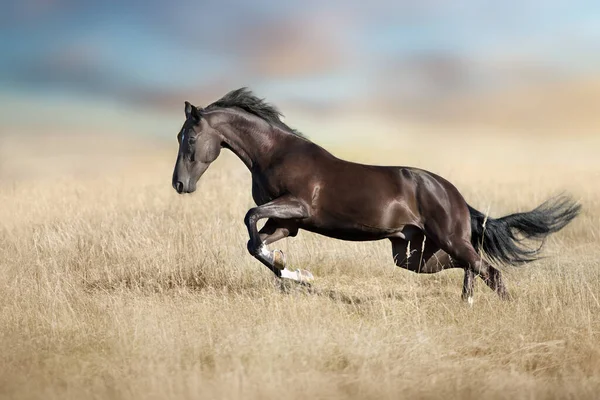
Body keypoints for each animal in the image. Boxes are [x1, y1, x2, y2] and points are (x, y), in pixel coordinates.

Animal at [170, 86, 580, 300]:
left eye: (189, 138)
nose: (180, 184)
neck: (275, 153)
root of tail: (457, 197)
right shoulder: (290, 223)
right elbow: (256, 244)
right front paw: (293, 271)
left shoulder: (295, 207)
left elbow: (250, 221)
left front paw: (294, 271)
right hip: (412, 253)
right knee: (469, 265)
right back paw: (467, 301)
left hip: (446, 239)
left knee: (489, 269)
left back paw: (499, 306)